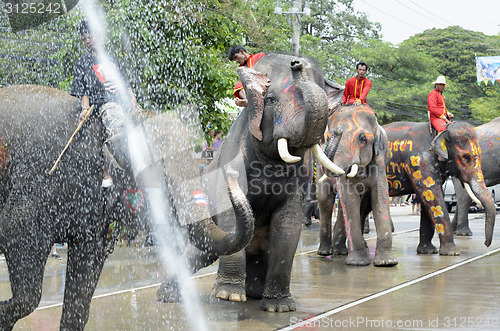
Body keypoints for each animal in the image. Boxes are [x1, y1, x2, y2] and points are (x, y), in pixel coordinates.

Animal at [0, 85, 256, 330]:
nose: (232, 173)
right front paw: (3, 315)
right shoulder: (37, 183)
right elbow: (18, 236)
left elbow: (87, 262)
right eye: (162, 175)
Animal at [198, 53, 344, 314]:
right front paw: (228, 296)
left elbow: (288, 225)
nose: (296, 63)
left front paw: (280, 307)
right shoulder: (233, 156)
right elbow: (229, 213)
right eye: (271, 99)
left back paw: (255, 294)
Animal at [314, 104, 396, 268]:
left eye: (363, 138)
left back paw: (340, 251)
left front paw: (386, 263)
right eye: (328, 137)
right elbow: (350, 199)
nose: (338, 130)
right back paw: (326, 252)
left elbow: (379, 195)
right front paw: (358, 263)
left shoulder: (380, 159)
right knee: (326, 202)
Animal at [382, 120, 496, 255]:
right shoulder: (419, 162)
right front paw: (452, 253)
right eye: (466, 157)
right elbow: (434, 196)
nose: (486, 244)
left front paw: (428, 251)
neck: (440, 132)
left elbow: (427, 198)